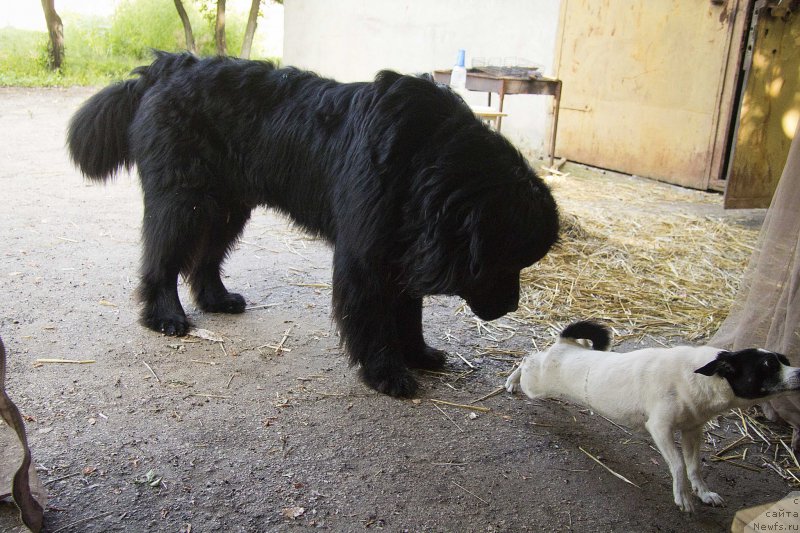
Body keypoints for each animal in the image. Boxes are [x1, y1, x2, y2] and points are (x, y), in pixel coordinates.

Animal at [67, 52, 556, 396]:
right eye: (503, 260)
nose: (512, 306)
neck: (426, 160)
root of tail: (165, 66)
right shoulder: (367, 256)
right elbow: (374, 319)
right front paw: (386, 373)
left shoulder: (403, 248)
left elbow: (408, 313)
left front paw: (419, 354)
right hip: (182, 202)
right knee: (162, 262)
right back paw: (166, 316)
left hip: (227, 206)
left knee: (204, 259)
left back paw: (217, 300)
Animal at [506, 320, 800, 512]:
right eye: (768, 366)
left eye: (784, 360)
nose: (799, 372)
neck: (698, 377)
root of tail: (565, 344)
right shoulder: (660, 428)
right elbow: (679, 465)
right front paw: (683, 498)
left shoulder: (692, 430)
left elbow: (694, 466)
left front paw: (704, 493)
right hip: (537, 384)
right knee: (527, 359)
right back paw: (510, 382)